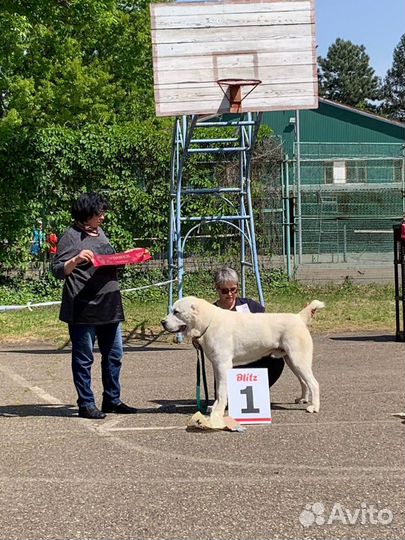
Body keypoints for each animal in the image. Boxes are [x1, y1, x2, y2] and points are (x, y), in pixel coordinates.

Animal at [160, 298, 322, 416]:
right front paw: (215, 407)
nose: (162, 322)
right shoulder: (217, 365)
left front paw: (218, 411)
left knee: (314, 383)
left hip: (298, 359)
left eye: (176, 312)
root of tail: (298, 317)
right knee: (304, 381)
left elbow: (221, 391)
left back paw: (314, 407)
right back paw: (303, 399)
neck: (208, 322)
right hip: (292, 361)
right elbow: (218, 389)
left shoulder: (223, 365)